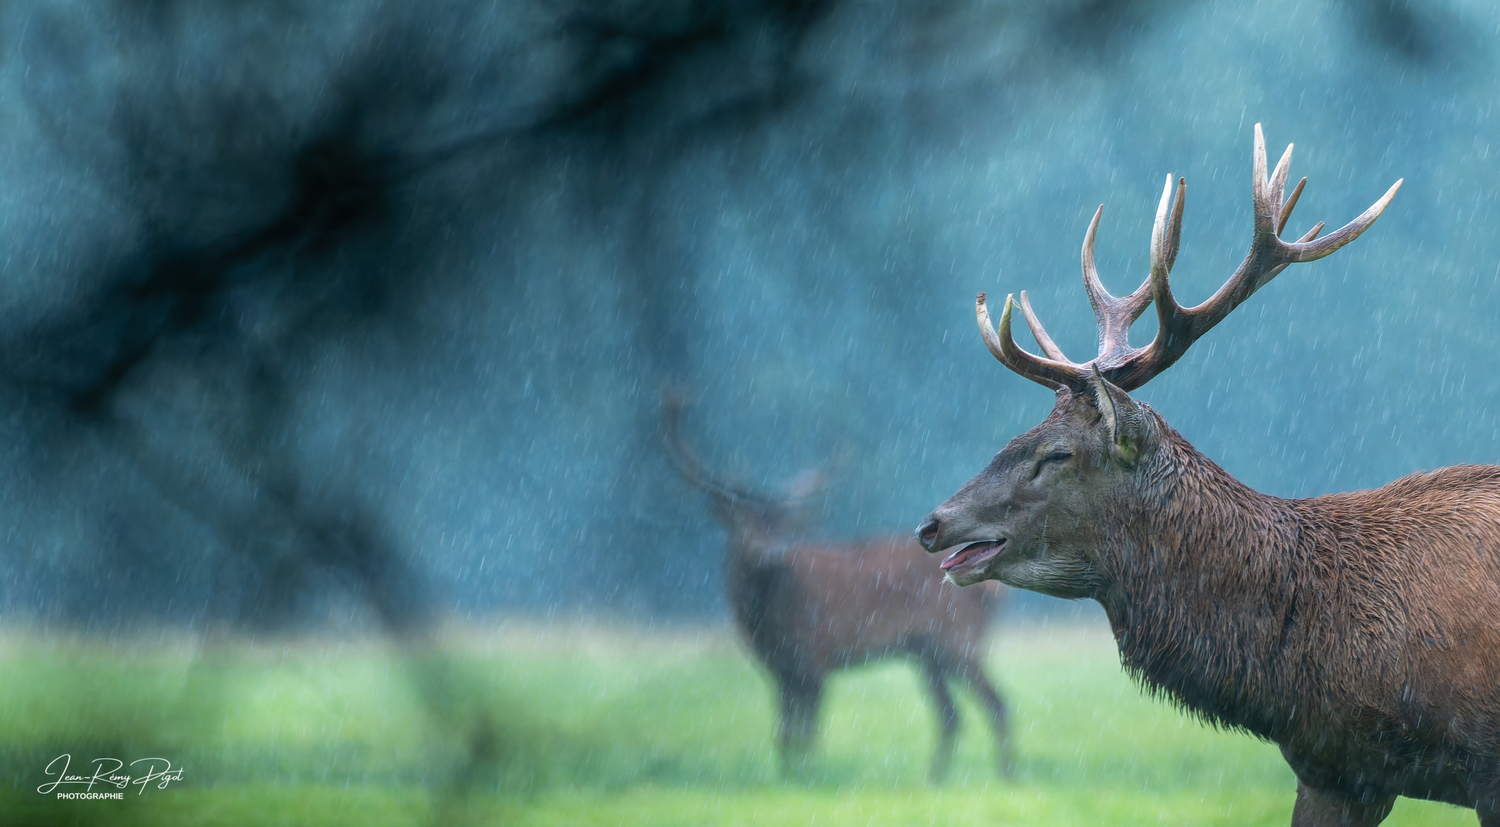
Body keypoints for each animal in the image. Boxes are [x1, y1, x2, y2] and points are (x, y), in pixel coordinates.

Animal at [661, 393, 1013, 782]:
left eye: (785, 524)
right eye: (743, 522)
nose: (771, 552)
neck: (763, 622)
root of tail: (994, 590)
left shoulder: (815, 653)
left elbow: (808, 728)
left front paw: (806, 776)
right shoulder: (779, 667)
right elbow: (784, 729)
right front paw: (785, 775)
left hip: (956, 639)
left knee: (996, 703)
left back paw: (1006, 775)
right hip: (926, 651)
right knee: (951, 713)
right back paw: (934, 779)